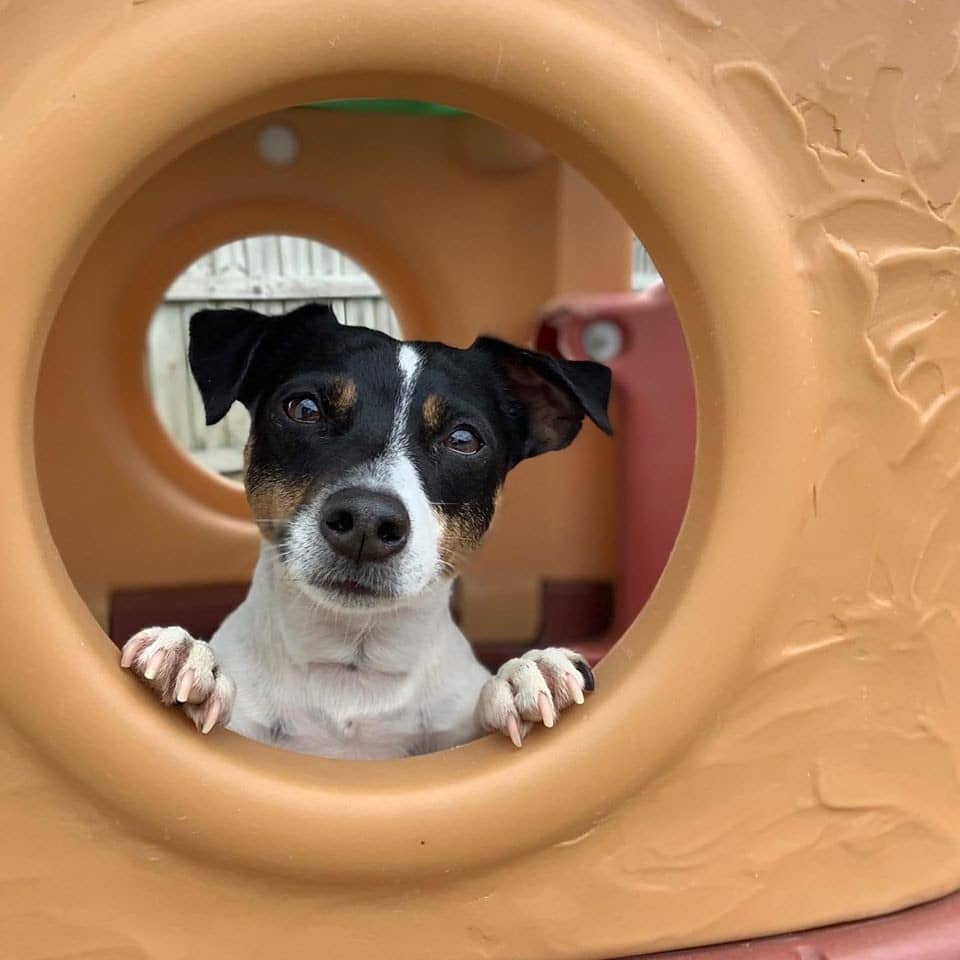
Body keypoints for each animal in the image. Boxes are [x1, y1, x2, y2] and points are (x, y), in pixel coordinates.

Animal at [120, 304, 612, 760]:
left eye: (463, 439)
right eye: (304, 408)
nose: (367, 522)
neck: (352, 668)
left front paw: (530, 670)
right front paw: (186, 657)